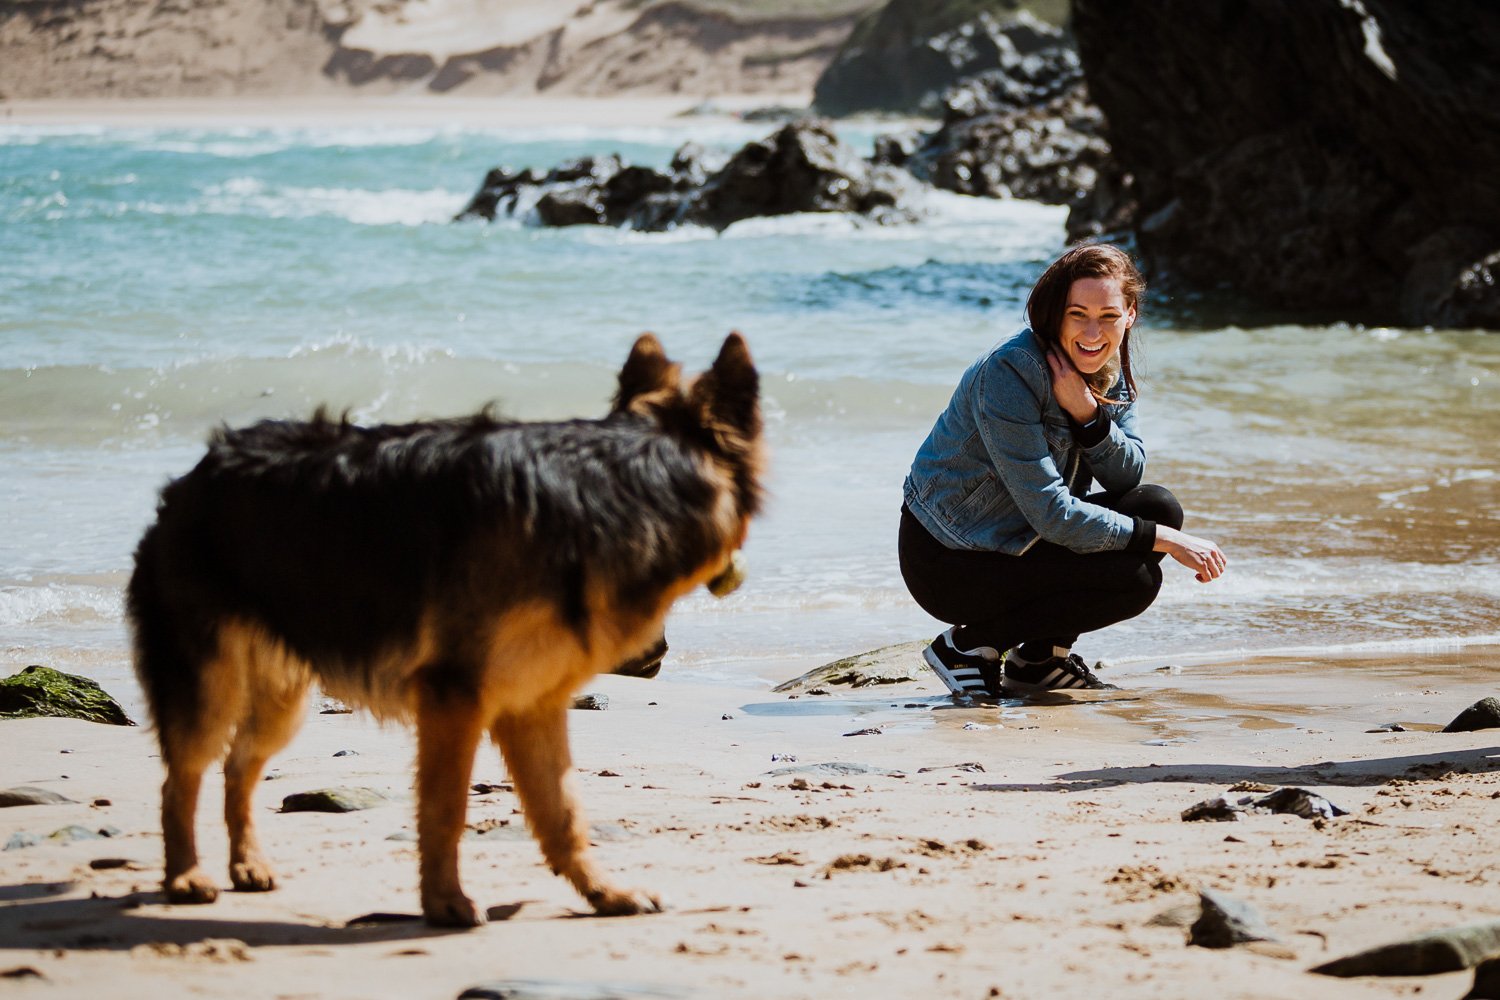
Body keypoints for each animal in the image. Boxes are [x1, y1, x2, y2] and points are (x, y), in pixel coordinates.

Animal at [126, 332, 762, 929]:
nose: (659, 652)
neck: (622, 483)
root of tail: (191, 479)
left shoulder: (531, 707)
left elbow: (564, 813)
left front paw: (604, 894)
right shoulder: (453, 700)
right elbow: (445, 809)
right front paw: (445, 903)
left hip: (282, 702)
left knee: (239, 766)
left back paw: (246, 864)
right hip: (209, 689)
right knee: (179, 780)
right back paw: (184, 877)